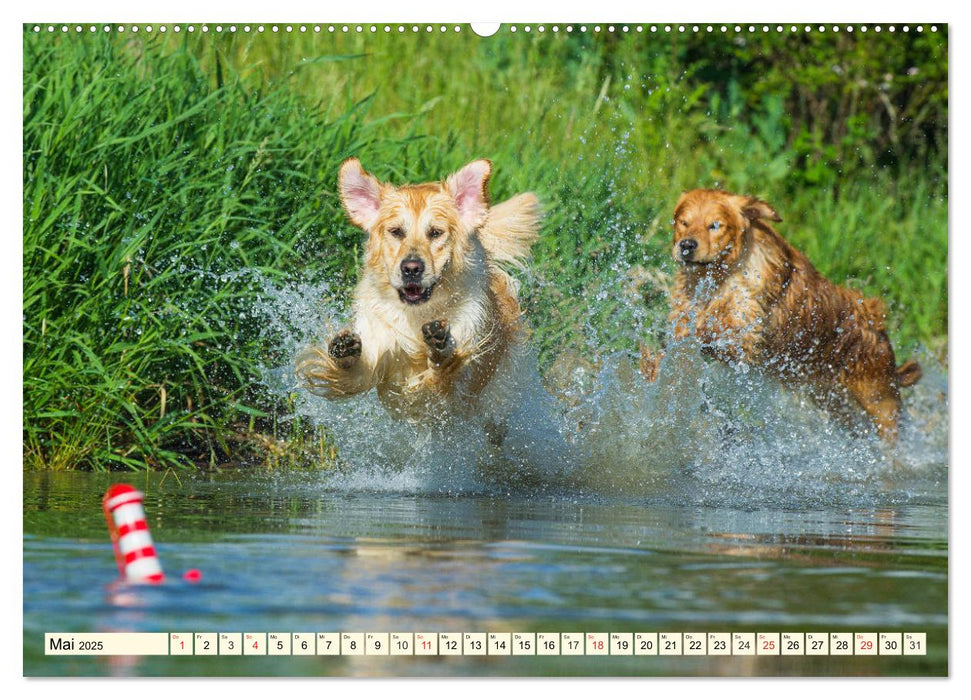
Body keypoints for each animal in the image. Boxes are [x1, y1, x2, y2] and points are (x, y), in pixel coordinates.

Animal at [296, 160, 540, 422]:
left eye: (435, 232)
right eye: (396, 232)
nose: (411, 268)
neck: (418, 315)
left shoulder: (456, 394)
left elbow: (442, 377)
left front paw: (441, 348)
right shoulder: (377, 348)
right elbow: (355, 374)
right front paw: (344, 350)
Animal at [640, 189, 924, 440]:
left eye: (715, 225)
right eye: (684, 222)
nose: (686, 245)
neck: (721, 277)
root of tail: (879, 330)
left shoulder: (744, 339)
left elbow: (709, 336)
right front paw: (653, 369)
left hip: (879, 402)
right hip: (834, 404)